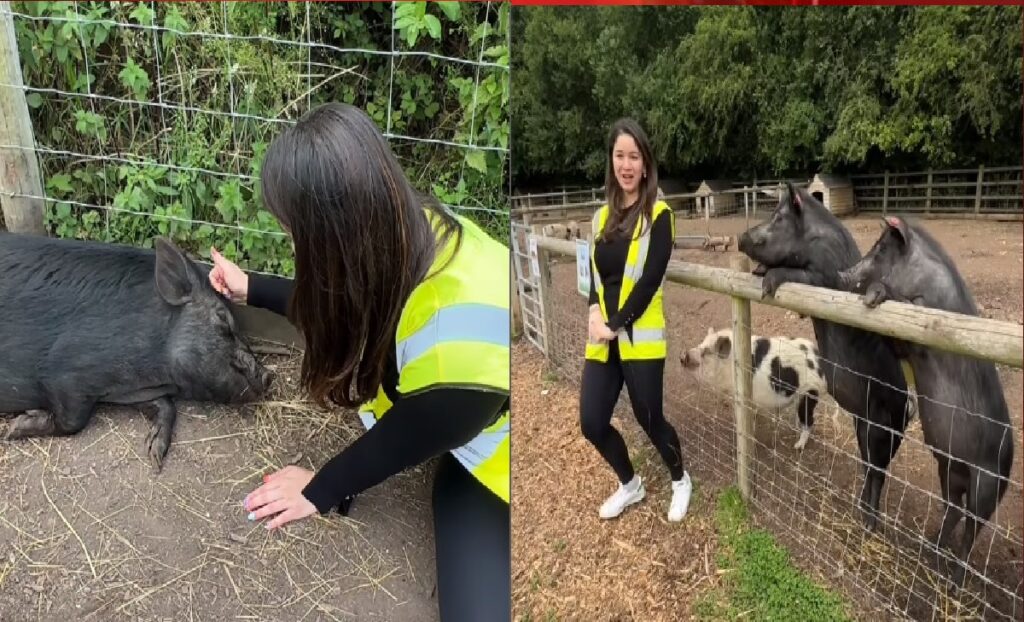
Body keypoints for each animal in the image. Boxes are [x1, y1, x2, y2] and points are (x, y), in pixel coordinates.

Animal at [0, 233, 274, 471]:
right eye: (223, 319)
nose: (269, 375)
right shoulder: (64, 375)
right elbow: (73, 421)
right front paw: (14, 427)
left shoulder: (129, 389)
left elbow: (166, 405)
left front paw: (155, 454)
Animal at [737, 182, 913, 532]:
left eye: (778, 219)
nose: (740, 237)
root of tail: (907, 410)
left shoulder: (827, 274)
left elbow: (799, 275)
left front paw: (767, 286)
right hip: (863, 422)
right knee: (870, 465)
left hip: (884, 425)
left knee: (879, 470)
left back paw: (870, 523)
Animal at [839, 215, 1015, 590]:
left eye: (881, 249)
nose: (844, 274)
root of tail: (1010, 462)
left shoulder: (926, 327)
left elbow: (907, 308)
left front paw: (874, 297)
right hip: (949, 469)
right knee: (953, 510)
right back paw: (930, 547)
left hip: (987, 484)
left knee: (972, 528)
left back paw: (954, 583)